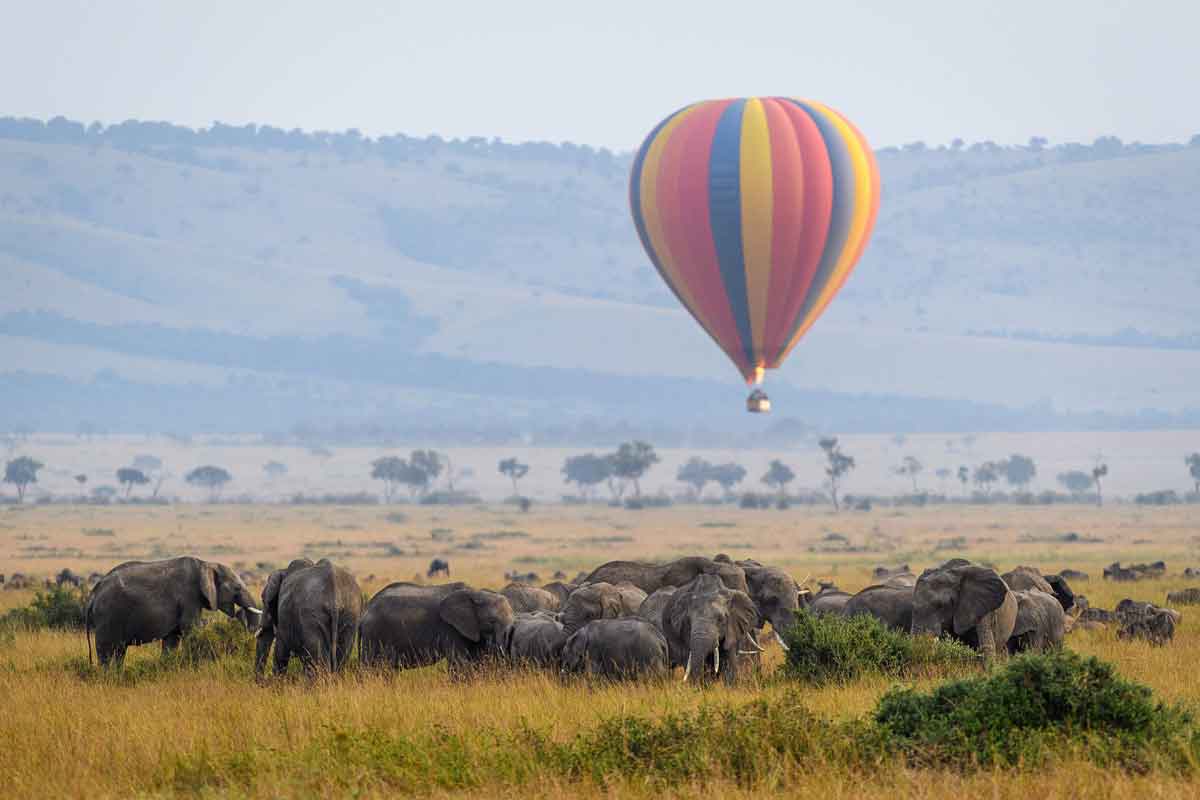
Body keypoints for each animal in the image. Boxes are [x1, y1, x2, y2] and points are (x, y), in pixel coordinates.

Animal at [357, 582, 513, 671]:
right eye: (491, 621)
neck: (476, 593)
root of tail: (365, 611)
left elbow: (476, 660)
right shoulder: (450, 627)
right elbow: (459, 662)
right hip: (374, 634)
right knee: (371, 668)